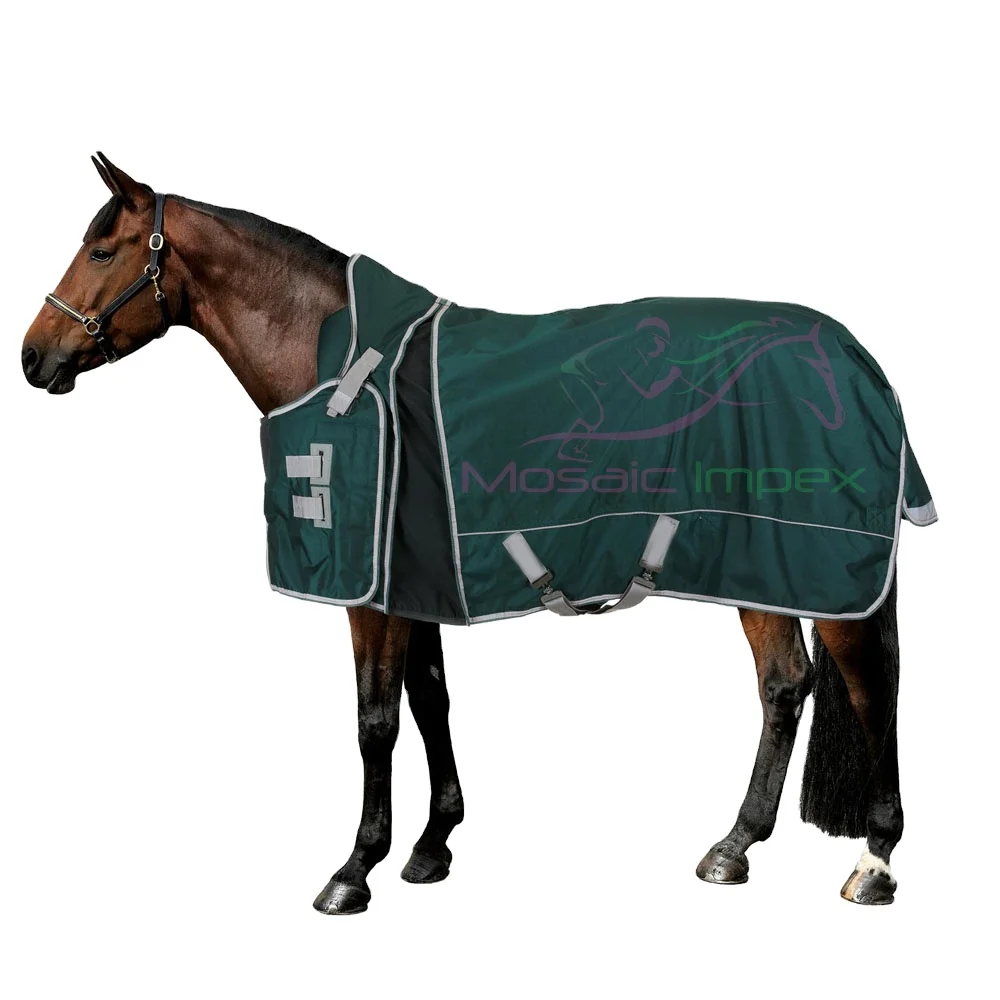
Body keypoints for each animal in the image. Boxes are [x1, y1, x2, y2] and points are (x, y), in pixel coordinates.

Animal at [21, 153, 908, 912]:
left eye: (101, 250)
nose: (34, 357)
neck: (340, 365)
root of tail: (854, 358)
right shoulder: (415, 581)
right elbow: (430, 700)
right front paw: (431, 845)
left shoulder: (370, 595)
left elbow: (375, 720)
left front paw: (355, 869)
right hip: (760, 565)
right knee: (785, 686)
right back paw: (734, 846)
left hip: (817, 564)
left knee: (870, 685)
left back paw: (874, 860)